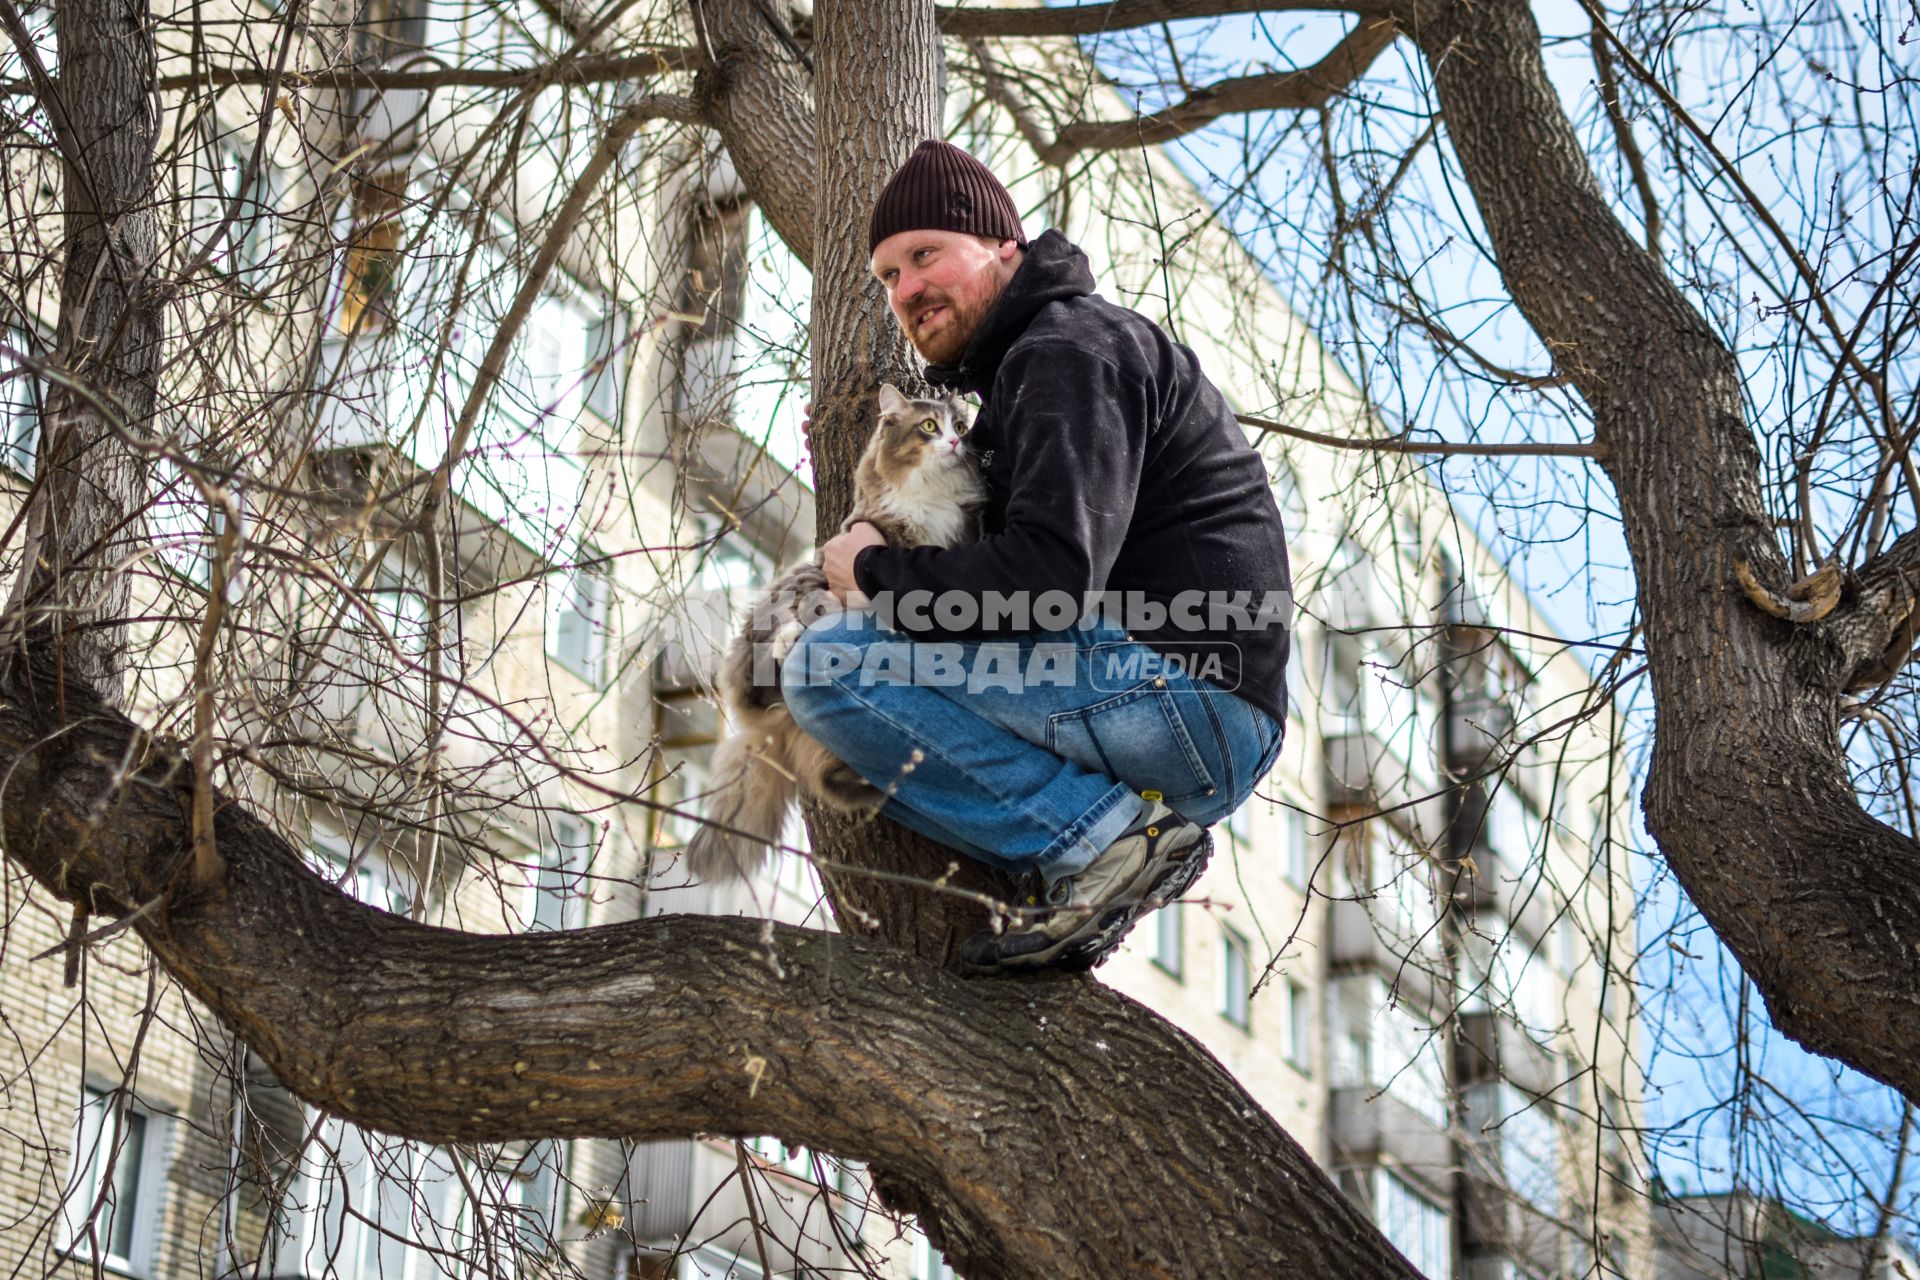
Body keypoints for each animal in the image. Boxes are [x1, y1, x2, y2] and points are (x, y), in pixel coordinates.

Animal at [687, 379, 983, 886]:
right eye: (928, 425)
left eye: (960, 427)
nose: (953, 442)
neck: (930, 492)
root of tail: (768, 729)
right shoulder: (860, 541)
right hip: (787, 602)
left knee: (830, 782)